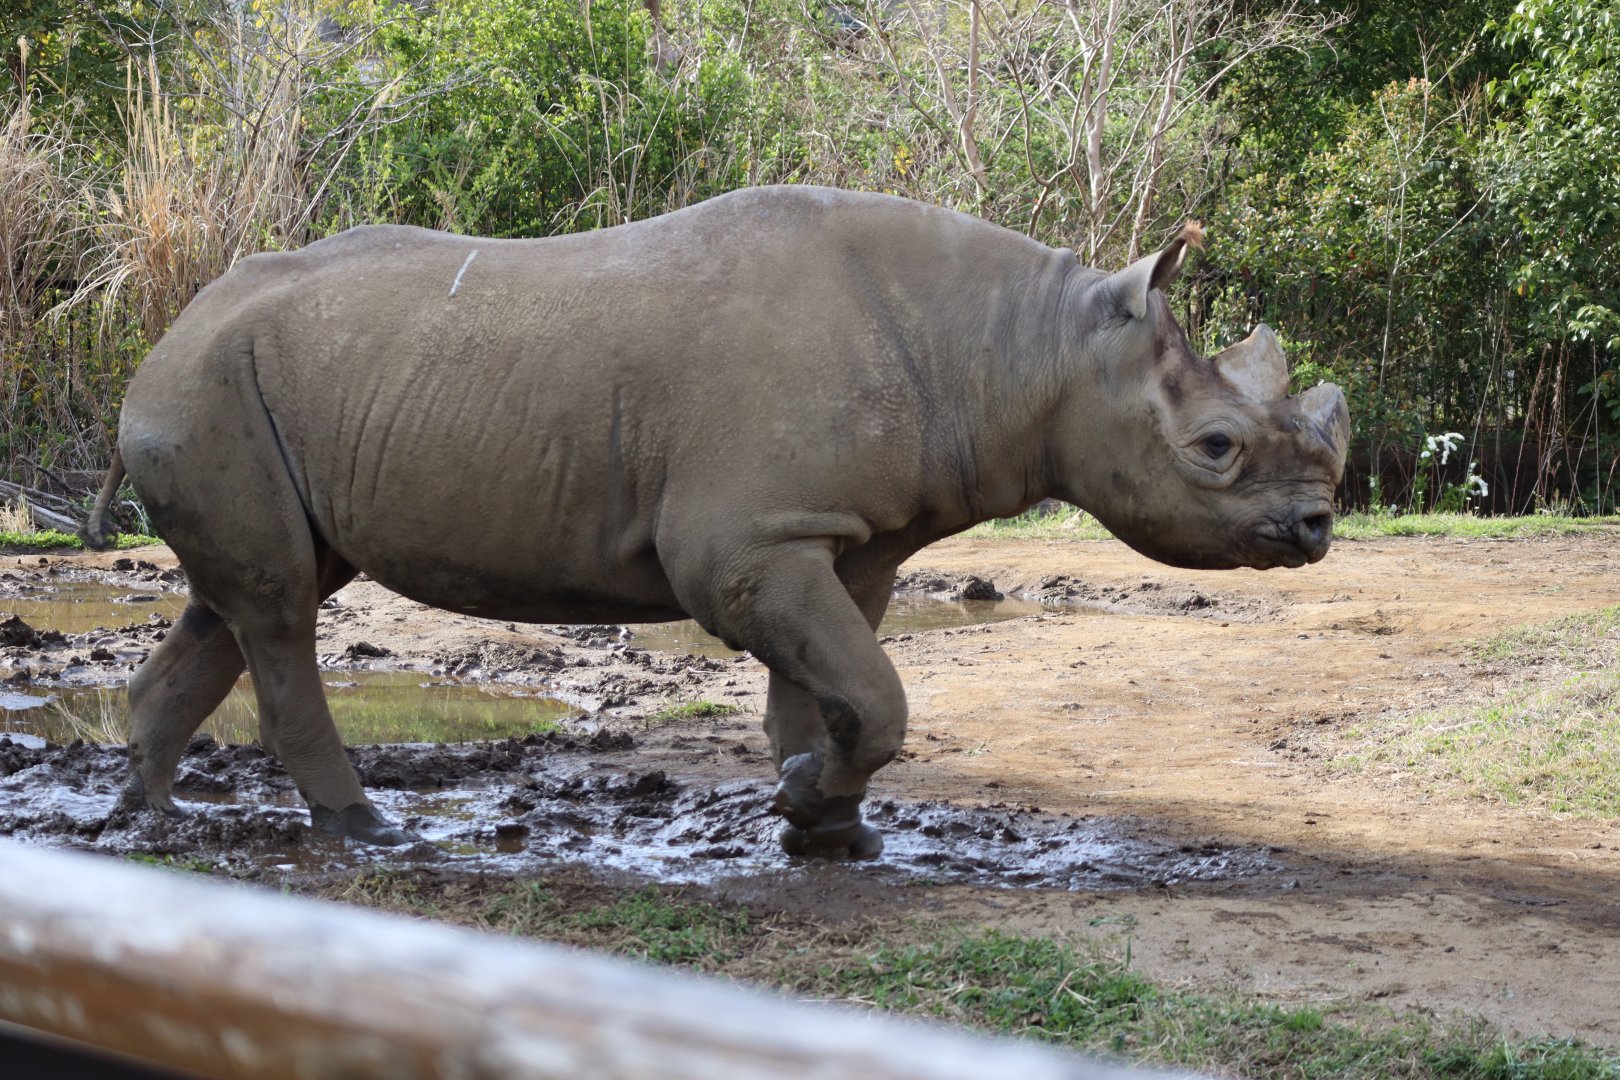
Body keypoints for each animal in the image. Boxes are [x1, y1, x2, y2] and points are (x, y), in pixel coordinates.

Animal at [83, 186, 1347, 858]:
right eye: (1217, 449)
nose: (1318, 529)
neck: (1028, 348)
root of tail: (166, 332)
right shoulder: (743, 543)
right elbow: (873, 690)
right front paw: (813, 809)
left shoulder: (831, 535)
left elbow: (834, 690)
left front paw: (821, 822)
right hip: (210, 385)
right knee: (280, 609)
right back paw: (364, 830)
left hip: (244, 385)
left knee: (251, 595)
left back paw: (149, 821)